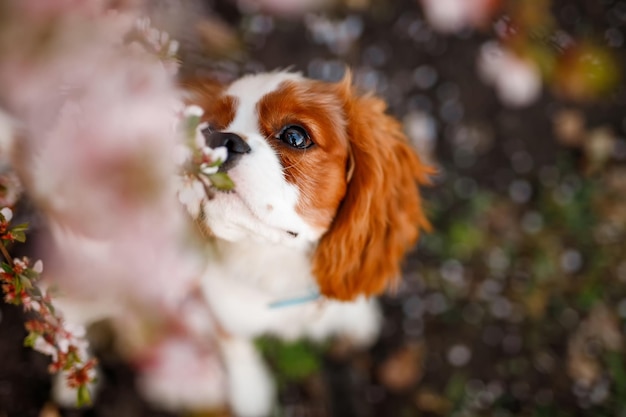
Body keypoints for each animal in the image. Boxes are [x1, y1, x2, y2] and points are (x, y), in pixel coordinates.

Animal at [180, 70, 432, 414]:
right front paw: (250, 392)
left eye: (295, 136)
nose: (218, 139)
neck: (274, 258)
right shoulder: (223, 310)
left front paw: (357, 314)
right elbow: (235, 346)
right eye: (205, 130)